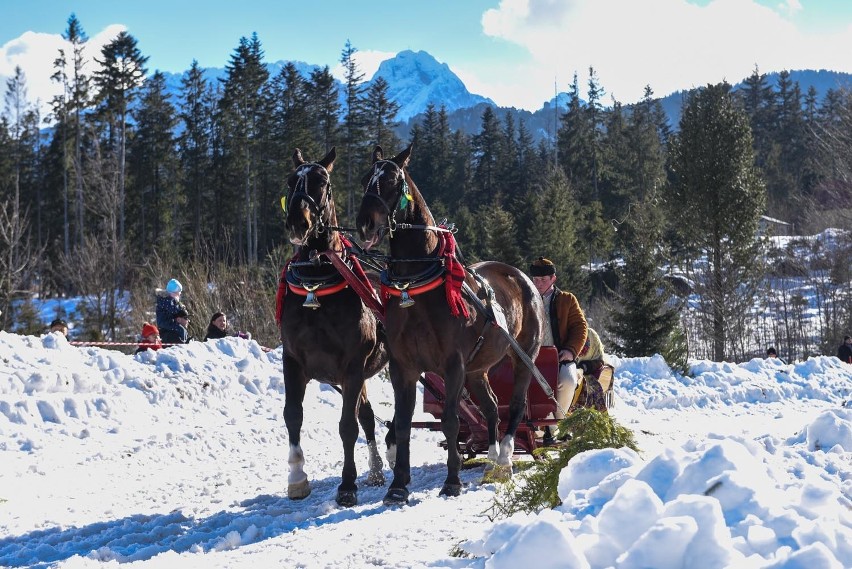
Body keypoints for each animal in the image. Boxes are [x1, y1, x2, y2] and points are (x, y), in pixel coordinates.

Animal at [282, 148, 388, 506]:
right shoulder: (293, 360)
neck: (316, 284)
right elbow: (293, 415)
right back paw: (377, 469)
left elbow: (346, 426)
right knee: (368, 415)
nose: (298, 222)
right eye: (291, 181)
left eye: (322, 182)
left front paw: (347, 485)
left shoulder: (352, 365)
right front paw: (297, 478)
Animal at [354, 144, 544, 504]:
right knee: (491, 409)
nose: (365, 224)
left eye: (392, 180)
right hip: (477, 370)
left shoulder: (453, 365)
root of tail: (523, 277)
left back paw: (505, 460)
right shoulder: (404, 366)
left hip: (523, 356)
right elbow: (402, 423)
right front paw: (398, 485)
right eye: (365, 179)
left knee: (515, 407)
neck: (413, 287)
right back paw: (491, 461)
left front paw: (452, 481)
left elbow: (452, 422)